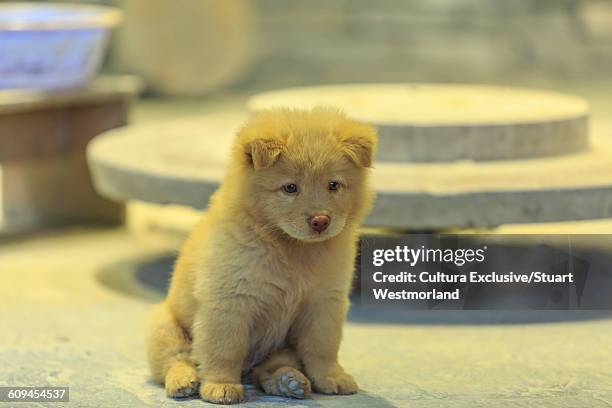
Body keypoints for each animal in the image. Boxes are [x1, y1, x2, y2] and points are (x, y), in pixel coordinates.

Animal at [147, 107, 378, 404]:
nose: (320, 221)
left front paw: (333, 378)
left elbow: (323, 348)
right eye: (290, 188)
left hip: (282, 347)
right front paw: (221, 386)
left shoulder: (325, 303)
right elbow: (225, 349)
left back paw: (288, 382)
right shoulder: (230, 302)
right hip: (164, 326)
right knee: (176, 360)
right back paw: (184, 382)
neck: (292, 250)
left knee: (268, 370)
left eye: (333, 185)